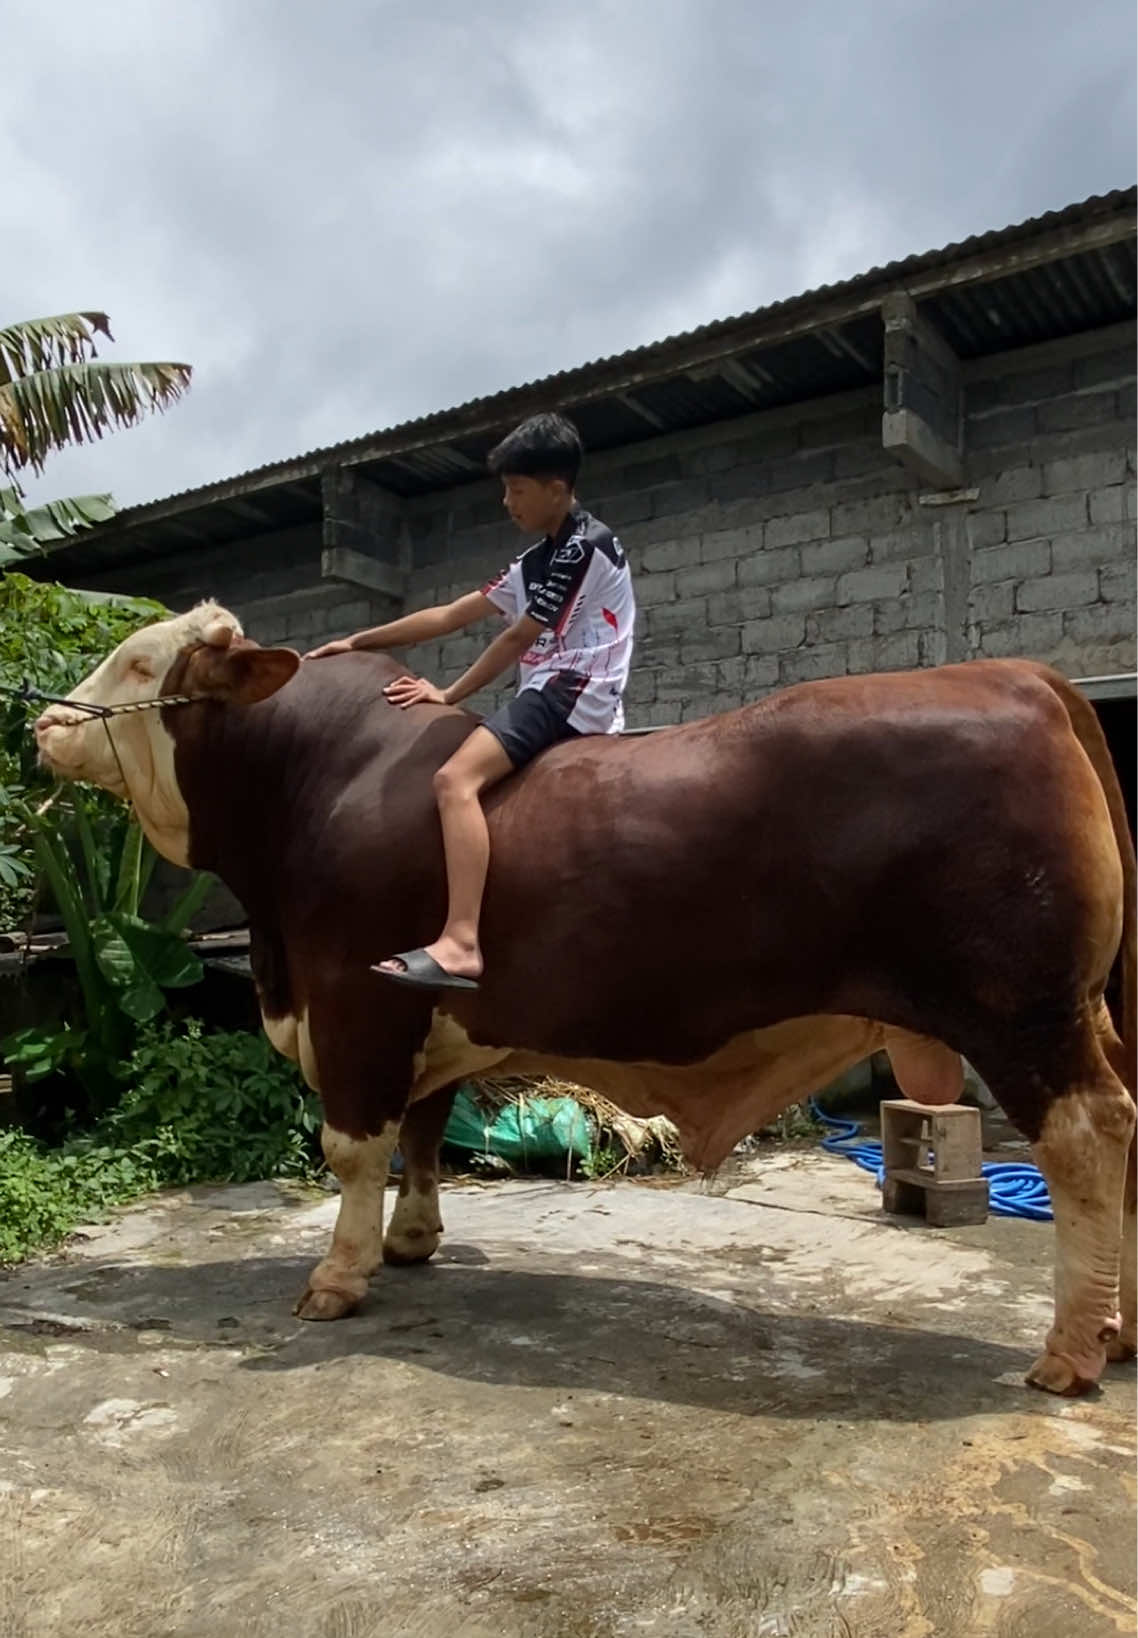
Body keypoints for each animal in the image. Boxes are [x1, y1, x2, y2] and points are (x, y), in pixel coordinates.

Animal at [31, 602, 1133, 1395]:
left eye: (141, 664)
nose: (44, 720)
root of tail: (1016, 675)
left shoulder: (354, 1004)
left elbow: (353, 1146)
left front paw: (337, 1277)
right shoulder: (426, 1014)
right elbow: (423, 1132)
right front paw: (411, 1241)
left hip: (1022, 1012)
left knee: (1085, 1137)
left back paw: (1070, 1350)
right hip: (1081, 1011)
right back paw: (1116, 1332)